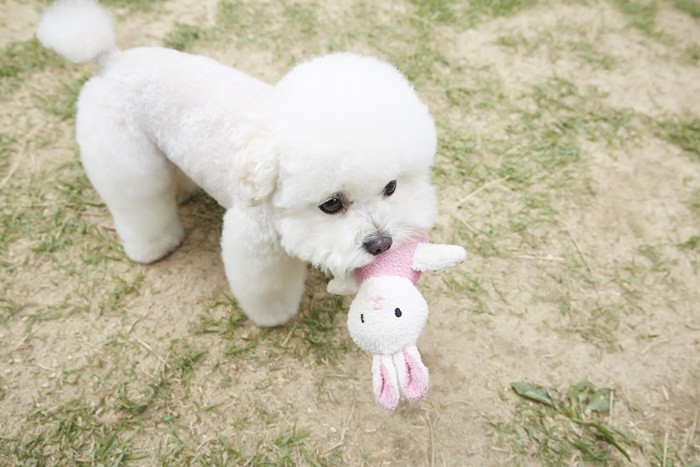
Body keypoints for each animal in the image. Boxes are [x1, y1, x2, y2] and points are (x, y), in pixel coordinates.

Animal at [38, 0, 438, 328]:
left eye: (391, 187)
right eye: (331, 204)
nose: (382, 244)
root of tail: (111, 59)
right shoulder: (256, 245)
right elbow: (266, 287)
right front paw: (274, 315)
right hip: (126, 158)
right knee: (138, 201)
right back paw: (152, 246)